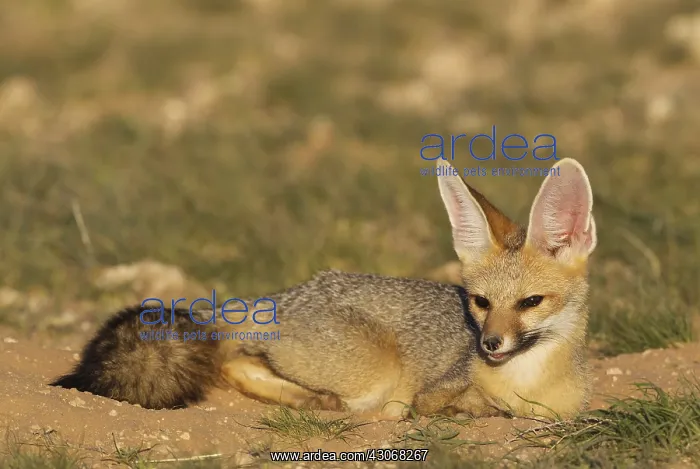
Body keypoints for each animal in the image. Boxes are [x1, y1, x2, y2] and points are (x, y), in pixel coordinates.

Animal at [51, 157, 597, 420]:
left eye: (530, 302)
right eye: (481, 302)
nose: (490, 343)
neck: (529, 382)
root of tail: (279, 296)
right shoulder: (429, 395)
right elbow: (466, 405)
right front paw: (482, 406)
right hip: (376, 371)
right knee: (232, 363)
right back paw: (314, 402)